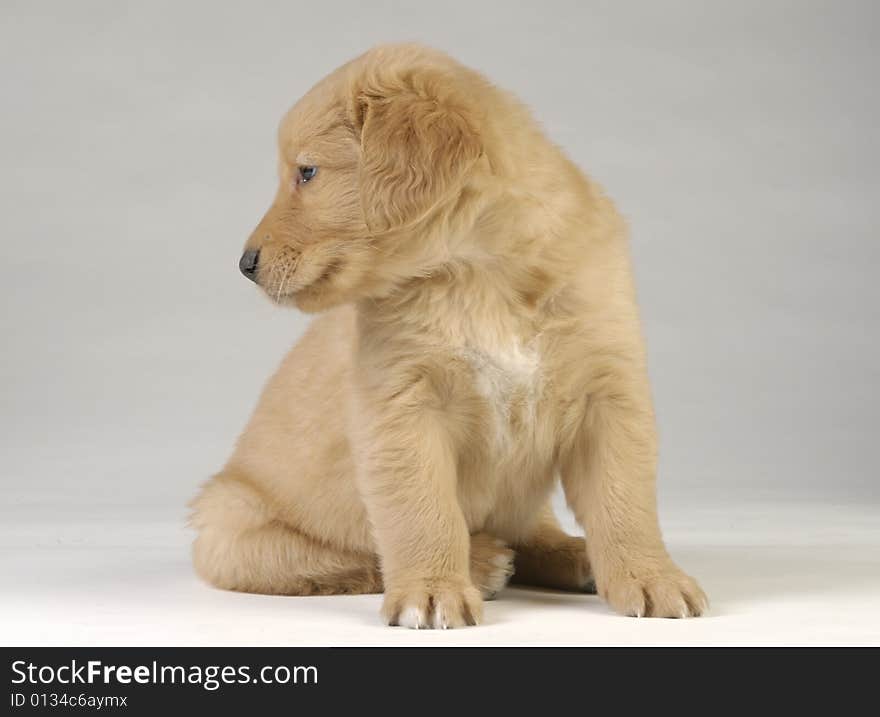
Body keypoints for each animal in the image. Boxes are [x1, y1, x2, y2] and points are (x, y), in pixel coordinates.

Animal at [187, 44, 708, 628]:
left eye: (307, 172)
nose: (244, 264)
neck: (479, 274)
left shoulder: (610, 393)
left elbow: (626, 501)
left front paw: (651, 577)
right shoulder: (402, 407)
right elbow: (423, 512)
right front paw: (432, 591)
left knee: (530, 527)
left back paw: (572, 554)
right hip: (230, 525)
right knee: (348, 556)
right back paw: (483, 563)